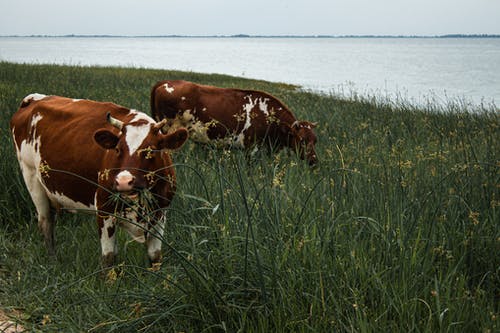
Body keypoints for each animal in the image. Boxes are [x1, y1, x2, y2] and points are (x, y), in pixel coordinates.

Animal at [9, 92, 189, 268]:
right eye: (118, 149)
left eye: (150, 151)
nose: (123, 181)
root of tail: (33, 99)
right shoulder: (104, 208)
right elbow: (108, 258)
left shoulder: (161, 211)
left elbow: (155, 257)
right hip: (31, 177)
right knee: (46, 223)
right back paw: (53, 263)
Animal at [150, 79, 318, 165]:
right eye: (302, 140)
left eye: (315, 140)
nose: (314, 160)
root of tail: (165, 81)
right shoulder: (252, 149)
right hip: (170, 130)